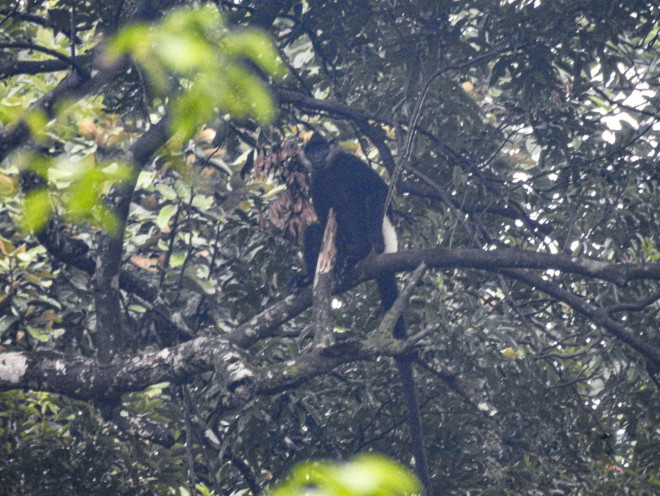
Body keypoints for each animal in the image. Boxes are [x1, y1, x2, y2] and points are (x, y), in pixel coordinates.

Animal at [292, 133, 430, 496]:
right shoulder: (317, 179)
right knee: (319, 225)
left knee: (357, 206)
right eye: (311, 150)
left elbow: (378, 193)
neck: (330, 168)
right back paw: (318, 272)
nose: (317, 154)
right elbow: (319, 214)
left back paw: (358, 253)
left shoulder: (349, 164)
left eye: (322, 148)